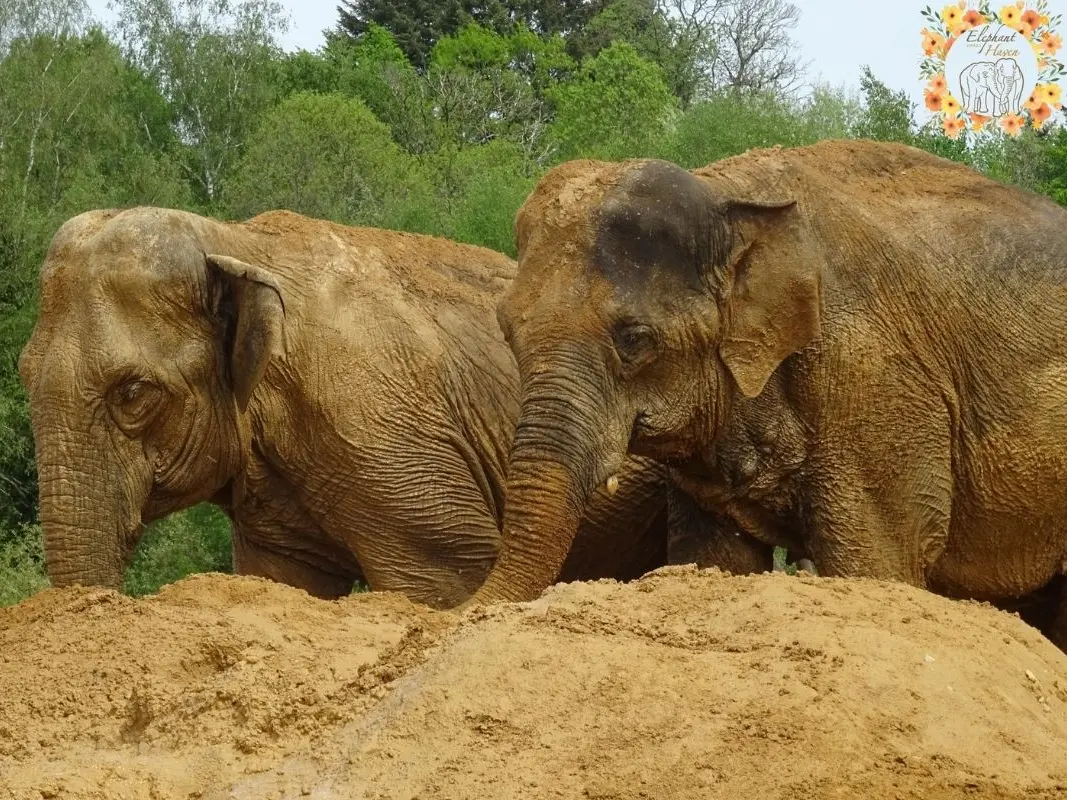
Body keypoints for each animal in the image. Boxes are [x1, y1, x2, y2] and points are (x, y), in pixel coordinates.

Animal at [459, 139, 1067, 650]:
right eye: (507, 330)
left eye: (633, 338)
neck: (731, 198)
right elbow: (717, 557)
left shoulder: (878, 380)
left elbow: (882, 557)